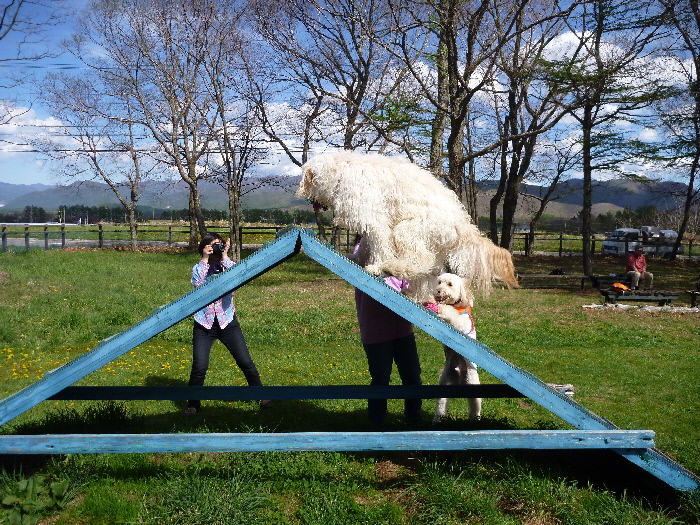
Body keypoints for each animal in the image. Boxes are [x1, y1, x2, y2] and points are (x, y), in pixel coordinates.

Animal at [432, 272, 482, 424]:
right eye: (439, 282)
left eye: (450, 284)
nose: (438, 291)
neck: (455, 304)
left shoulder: (461, 323)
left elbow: (452, 315)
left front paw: (442, 309)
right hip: (445, 383)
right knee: (442, 404)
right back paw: (437, 419)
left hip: (472, 383)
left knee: (475, 405)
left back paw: (475, 419)